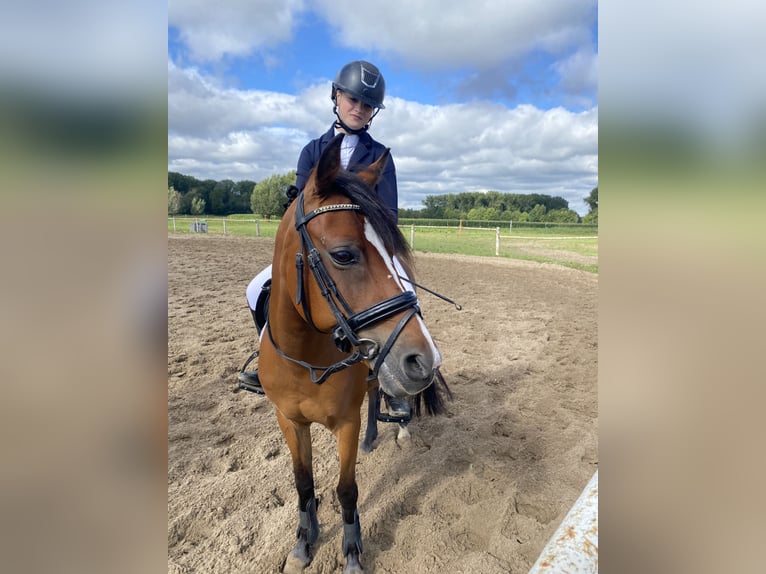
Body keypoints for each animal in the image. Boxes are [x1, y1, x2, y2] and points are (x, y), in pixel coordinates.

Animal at [258, 133, 448, 573]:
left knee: (381, 392)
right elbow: (303, 482)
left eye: (391, 249)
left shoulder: (345, 422)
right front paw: (303, 541)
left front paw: (351, 553)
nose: (425, 362)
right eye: (343, 254)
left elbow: (347, 489)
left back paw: (394, 429)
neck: (305, 361)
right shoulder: (288, 420)